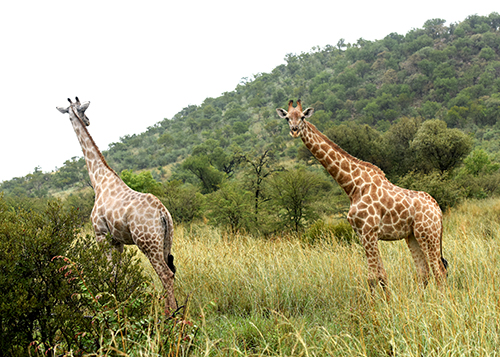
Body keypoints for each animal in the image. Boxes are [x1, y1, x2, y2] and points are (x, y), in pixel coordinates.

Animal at [57, 97, 178, 312]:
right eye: (83, 111)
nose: (88, 121)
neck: (98, 180)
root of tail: (163, 213)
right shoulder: (117, 240)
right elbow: (117, 274)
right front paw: (119, 302)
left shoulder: (100, 234)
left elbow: (108, 271)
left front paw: (108, 305)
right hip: (166, 240)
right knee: (170, 271)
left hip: (148, 243)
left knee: (165, 274)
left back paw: (170, 314)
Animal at [278, 99, 450, 290]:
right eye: (287, 118)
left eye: (302, 117)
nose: (294, 130)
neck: (352, 186)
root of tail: (438, 210)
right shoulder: (362, 234)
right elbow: (382, 276)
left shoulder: (368, 231)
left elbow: (372, 278)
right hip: (412, 236)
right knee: (424, 273)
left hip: (428, 233)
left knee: (439, 271)